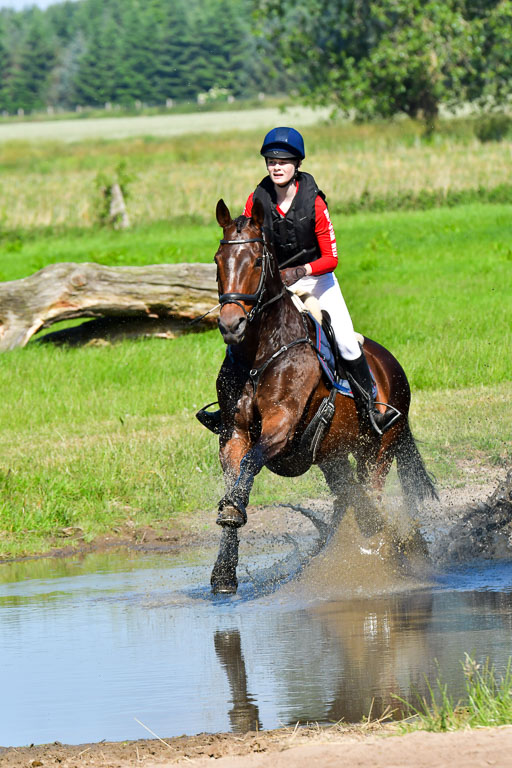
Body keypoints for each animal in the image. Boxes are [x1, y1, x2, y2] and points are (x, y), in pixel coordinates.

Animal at [206, 197, 437, 594]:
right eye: (219, 261)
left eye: (256, 261)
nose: (231, 325)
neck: (259, 354)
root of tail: (392, 364)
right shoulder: (233, 432)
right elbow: (237, 471)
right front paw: (224, 571)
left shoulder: (281, 425)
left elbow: (251, 461)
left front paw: (233, 509)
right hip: (333, 456)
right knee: (355, 501)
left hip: (378, 449)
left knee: (370, 495)